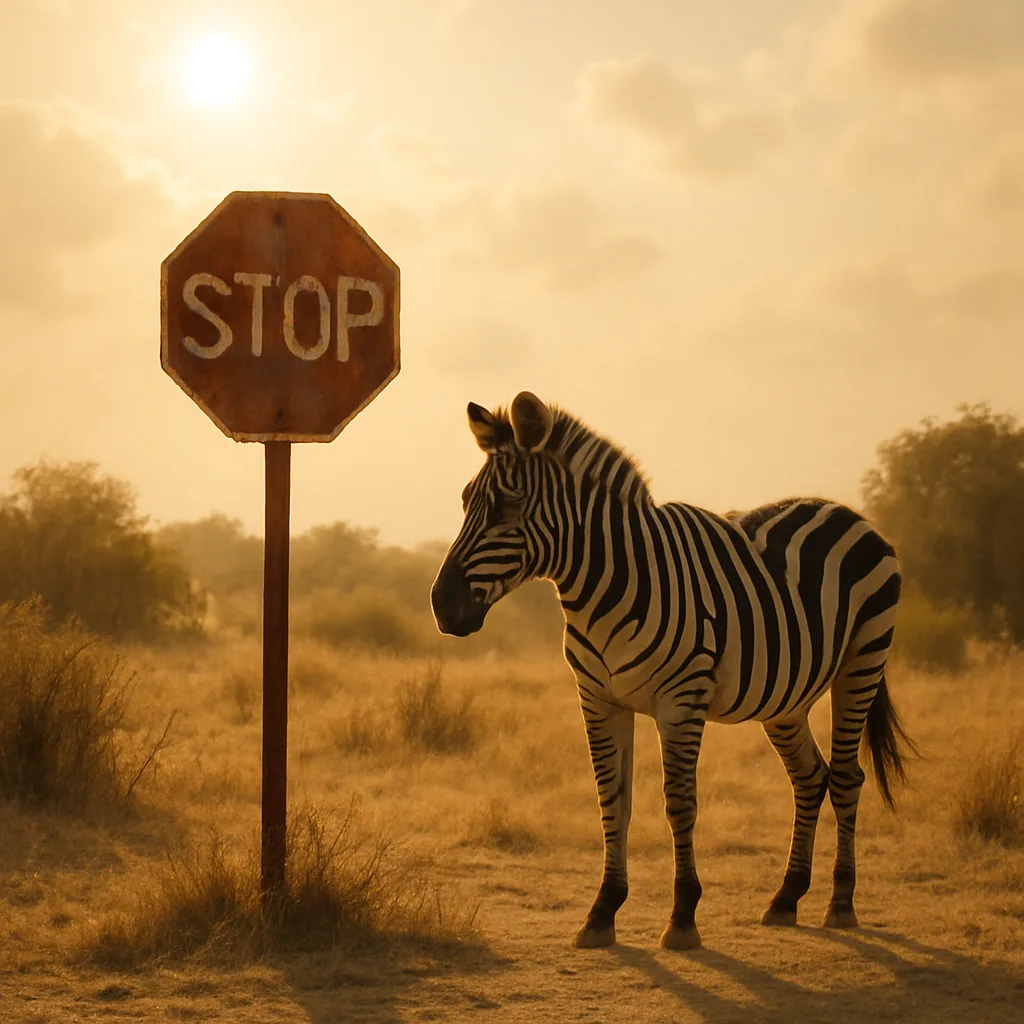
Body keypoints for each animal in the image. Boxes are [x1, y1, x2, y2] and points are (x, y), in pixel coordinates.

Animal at [431, 391, 914, 951]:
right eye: (465, 501)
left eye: (509, 507)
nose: (441, 605)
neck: (606, 588)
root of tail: (848, 511)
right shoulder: (598, 698)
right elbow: (612, 799)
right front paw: (602, 911)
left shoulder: (680, 701)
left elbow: (680, 802)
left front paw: (682, 916)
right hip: (787, 696)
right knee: (810, 776)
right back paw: (786, 897)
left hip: (863, 659)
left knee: (847, 777)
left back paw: (841, 904)